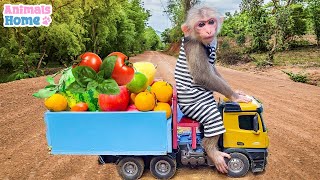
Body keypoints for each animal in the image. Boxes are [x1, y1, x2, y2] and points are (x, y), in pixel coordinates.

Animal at [174, 4, 251, 173]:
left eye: (210, 22)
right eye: (201, 24)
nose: (208, 30)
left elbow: (213, 70)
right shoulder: (194, 47)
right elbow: (203, 76)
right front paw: (235, 96)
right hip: (194, 107)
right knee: (213, 117)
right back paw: (212, 151)